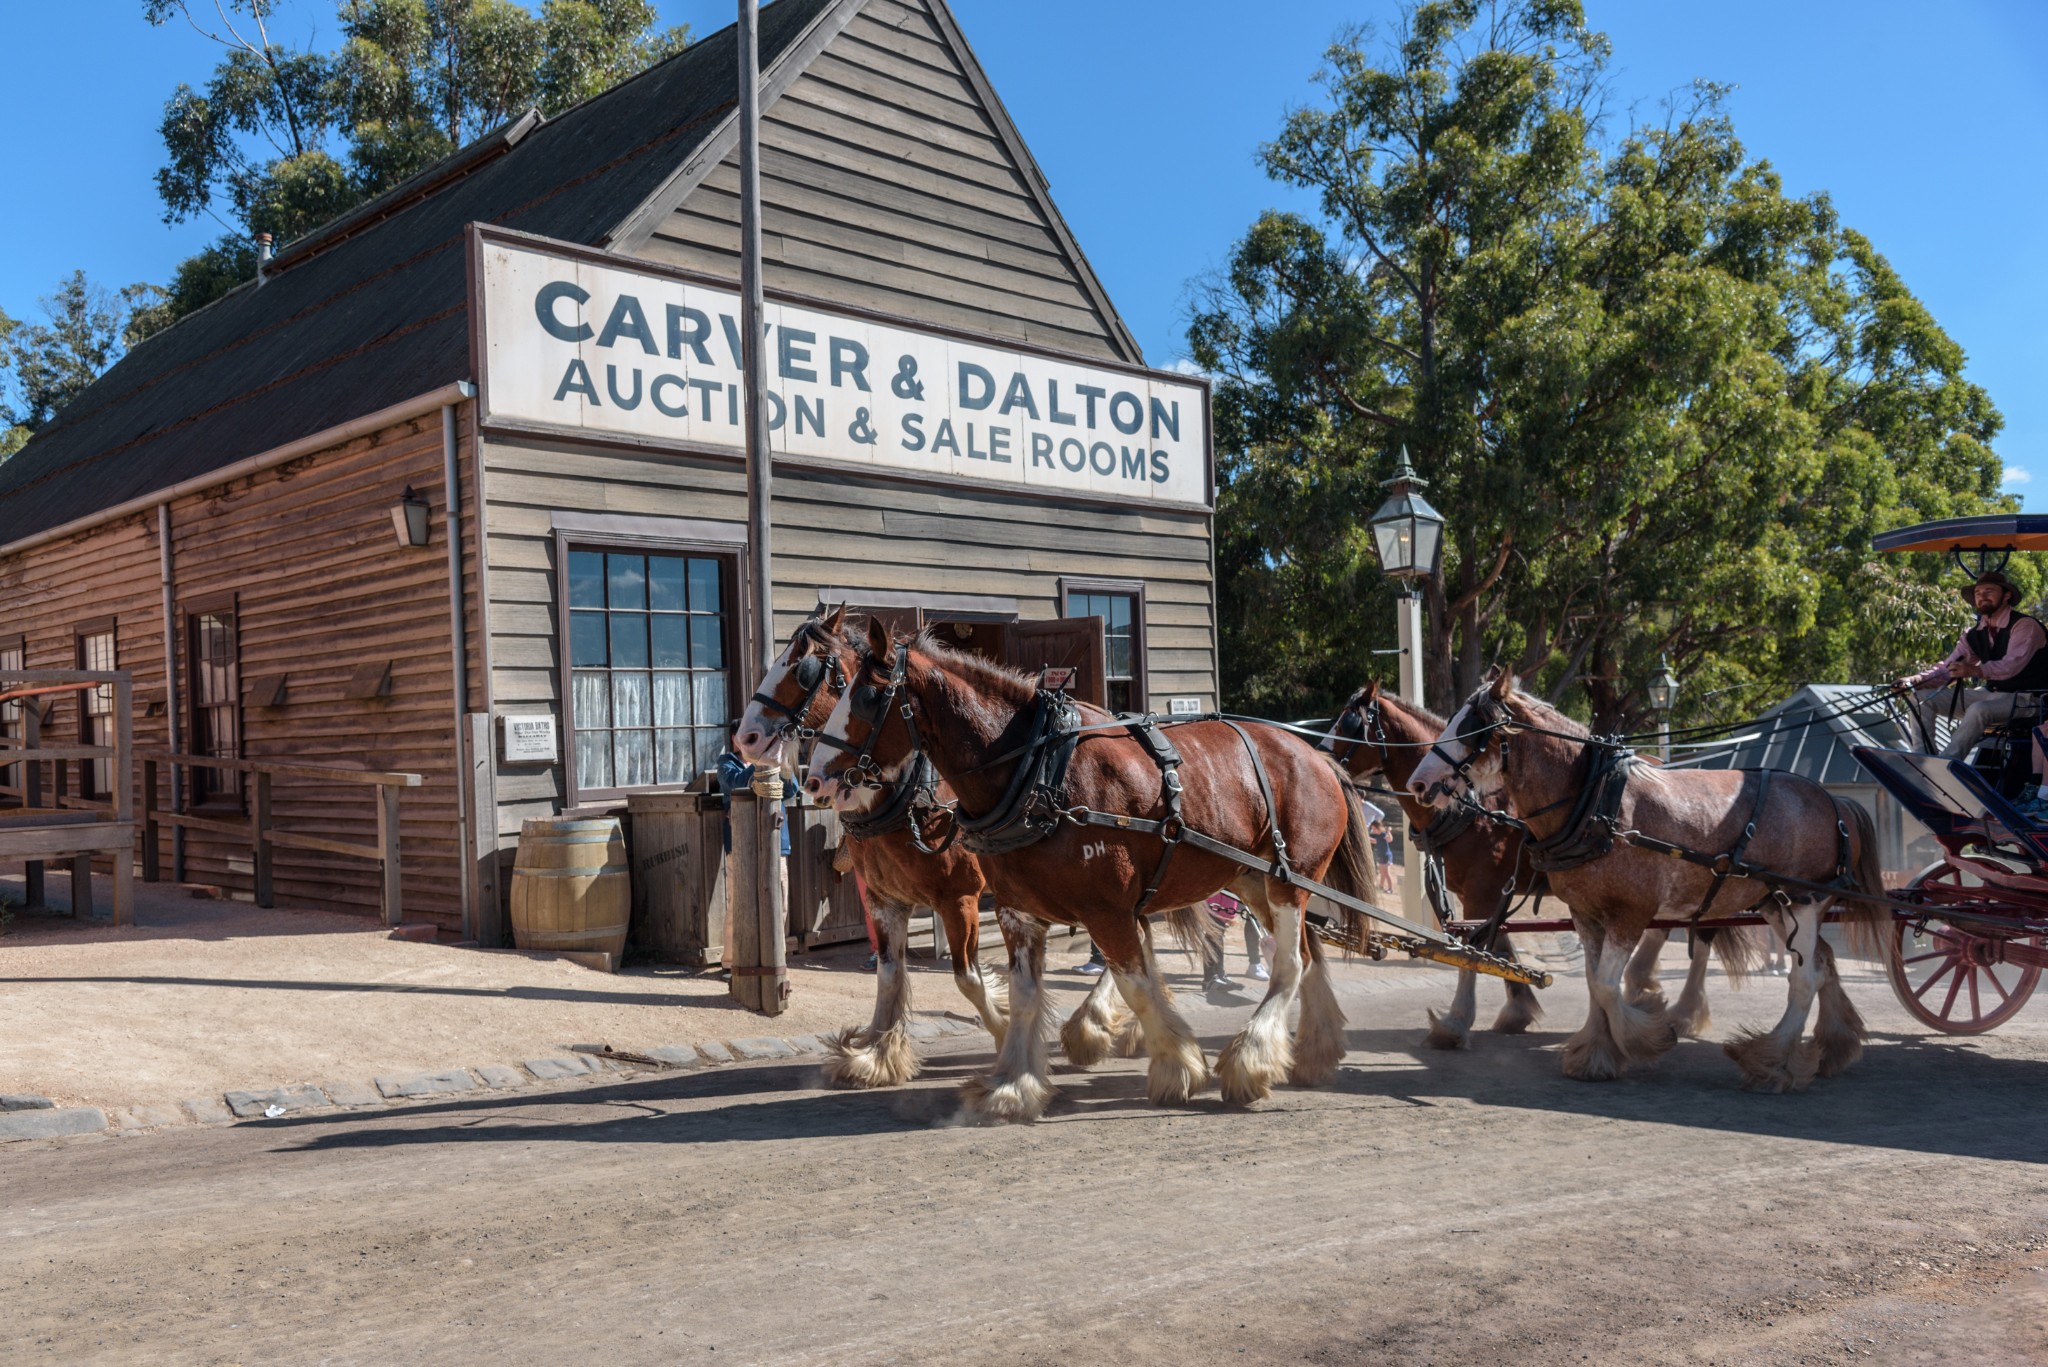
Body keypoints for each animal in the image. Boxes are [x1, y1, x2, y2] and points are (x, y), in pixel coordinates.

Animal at [802, 618, 1376, 1123]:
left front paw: (1178, 1066)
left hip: (1287, 880)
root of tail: (1317, 757)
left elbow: (1136, 984)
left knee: (1289, 964)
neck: (1039, 774)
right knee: (1307, 954)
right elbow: (1024, 996)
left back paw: (1248, 1060)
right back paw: (1314, 1052)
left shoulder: (1101, 909)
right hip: (1256, 878)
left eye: (866, 696)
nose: (815, 781)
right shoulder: (1016, 912)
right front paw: (1012, 1084)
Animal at [1327, 680, 1761, 1049]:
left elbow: (1473, 950)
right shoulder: (1486, 893)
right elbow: (1498, 946)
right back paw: (1644, 990)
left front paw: (1454, 1023)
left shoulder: (1482, 891)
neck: (1473, 810)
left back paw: (1682, 1011)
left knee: (1702, 936)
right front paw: (1518, 1008)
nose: (1321, 764)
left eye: (1349, 724)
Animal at [1409, 672, 1884, 1090]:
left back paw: (1773, 1061)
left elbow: (1605, 984)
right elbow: (1593, 982)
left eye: (1472, 727)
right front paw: (1596, 1054)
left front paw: (1646, 1036)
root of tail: (1830, 800)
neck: (1595, 803)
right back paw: (1832, 1045)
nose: (1419, 782)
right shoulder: (1585, 913)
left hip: (1804, 902)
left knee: (1803, 980)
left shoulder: (1630, 913)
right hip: (1774, 903)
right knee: (1820, 964)